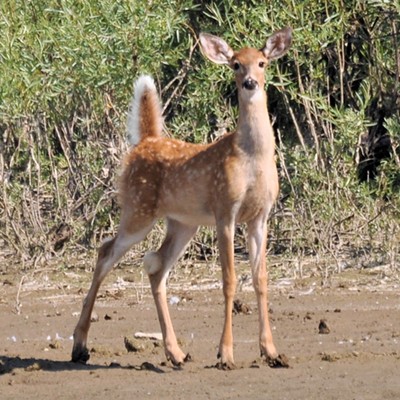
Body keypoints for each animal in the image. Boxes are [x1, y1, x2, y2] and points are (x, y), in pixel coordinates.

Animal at [71, 27, 290, 368]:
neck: (251, 159)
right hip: (138, 209)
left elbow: (261, 280)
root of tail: (145, 141)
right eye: (235, 64)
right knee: (106, 252)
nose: (250, 83)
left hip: (183, 223)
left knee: (156, 267)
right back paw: (79, 346)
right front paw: (225, 353)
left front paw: (271, 351)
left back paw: (175, 352)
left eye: (263, 63)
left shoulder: (260, 216)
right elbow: (229, 280)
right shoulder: (224, 209)